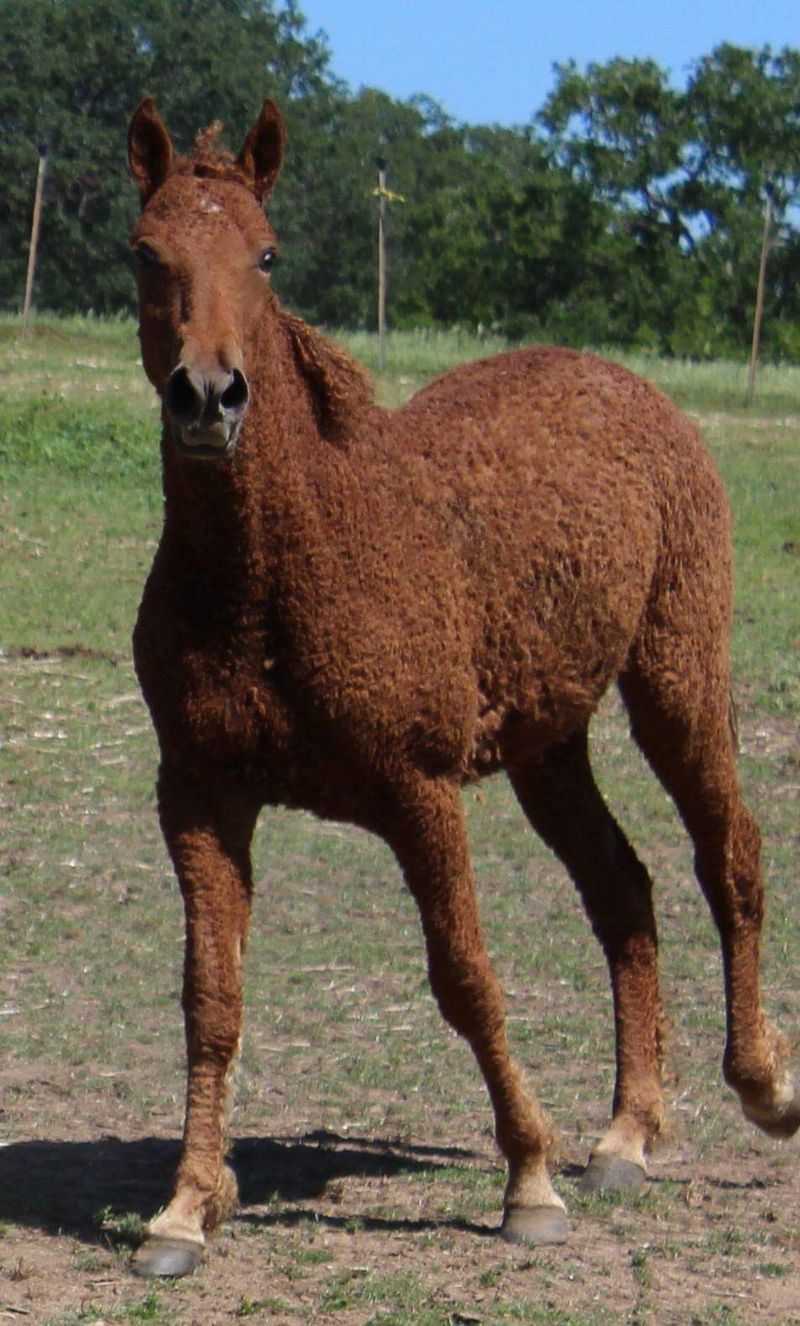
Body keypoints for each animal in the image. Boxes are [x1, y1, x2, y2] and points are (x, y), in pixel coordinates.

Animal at [126, 95, 799, 1277]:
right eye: (144, 254)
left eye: (267, 254)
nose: (208, 397)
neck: (274, 574)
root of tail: (625, 385)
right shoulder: (200, 799)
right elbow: (211, 998)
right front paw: (185, 1207)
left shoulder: (419, 793)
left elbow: (466, 977)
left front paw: (528, 1180)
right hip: (548, 747)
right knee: (623, 890)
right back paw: (625, 1135)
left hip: (674, 682)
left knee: (730, 858)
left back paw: (763, 1085)